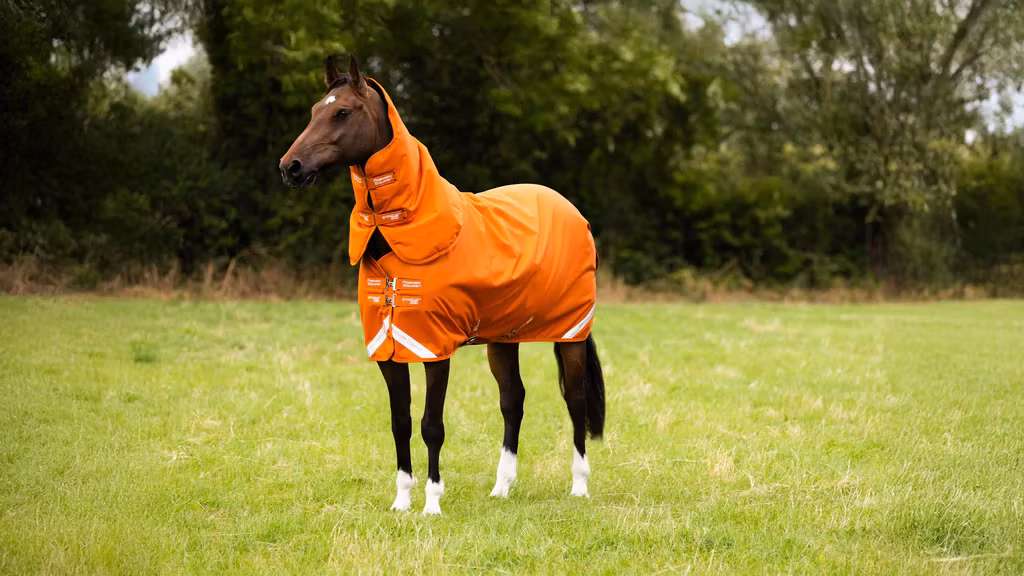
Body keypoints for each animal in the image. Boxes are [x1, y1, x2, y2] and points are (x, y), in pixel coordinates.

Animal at [280, 55, 605, 515]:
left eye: (341, 112)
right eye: (313, 111)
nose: (290, 168)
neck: (400, 236)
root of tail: (571, 209)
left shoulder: (434, 349)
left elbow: (431, 424)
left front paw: (432, 503)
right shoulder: (389, 350)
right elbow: (399, 422)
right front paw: (401, 500)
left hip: (570, 334)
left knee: (575, 402)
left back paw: (579, 486)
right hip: (503, 339)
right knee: (513, 401)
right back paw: (502, 486)